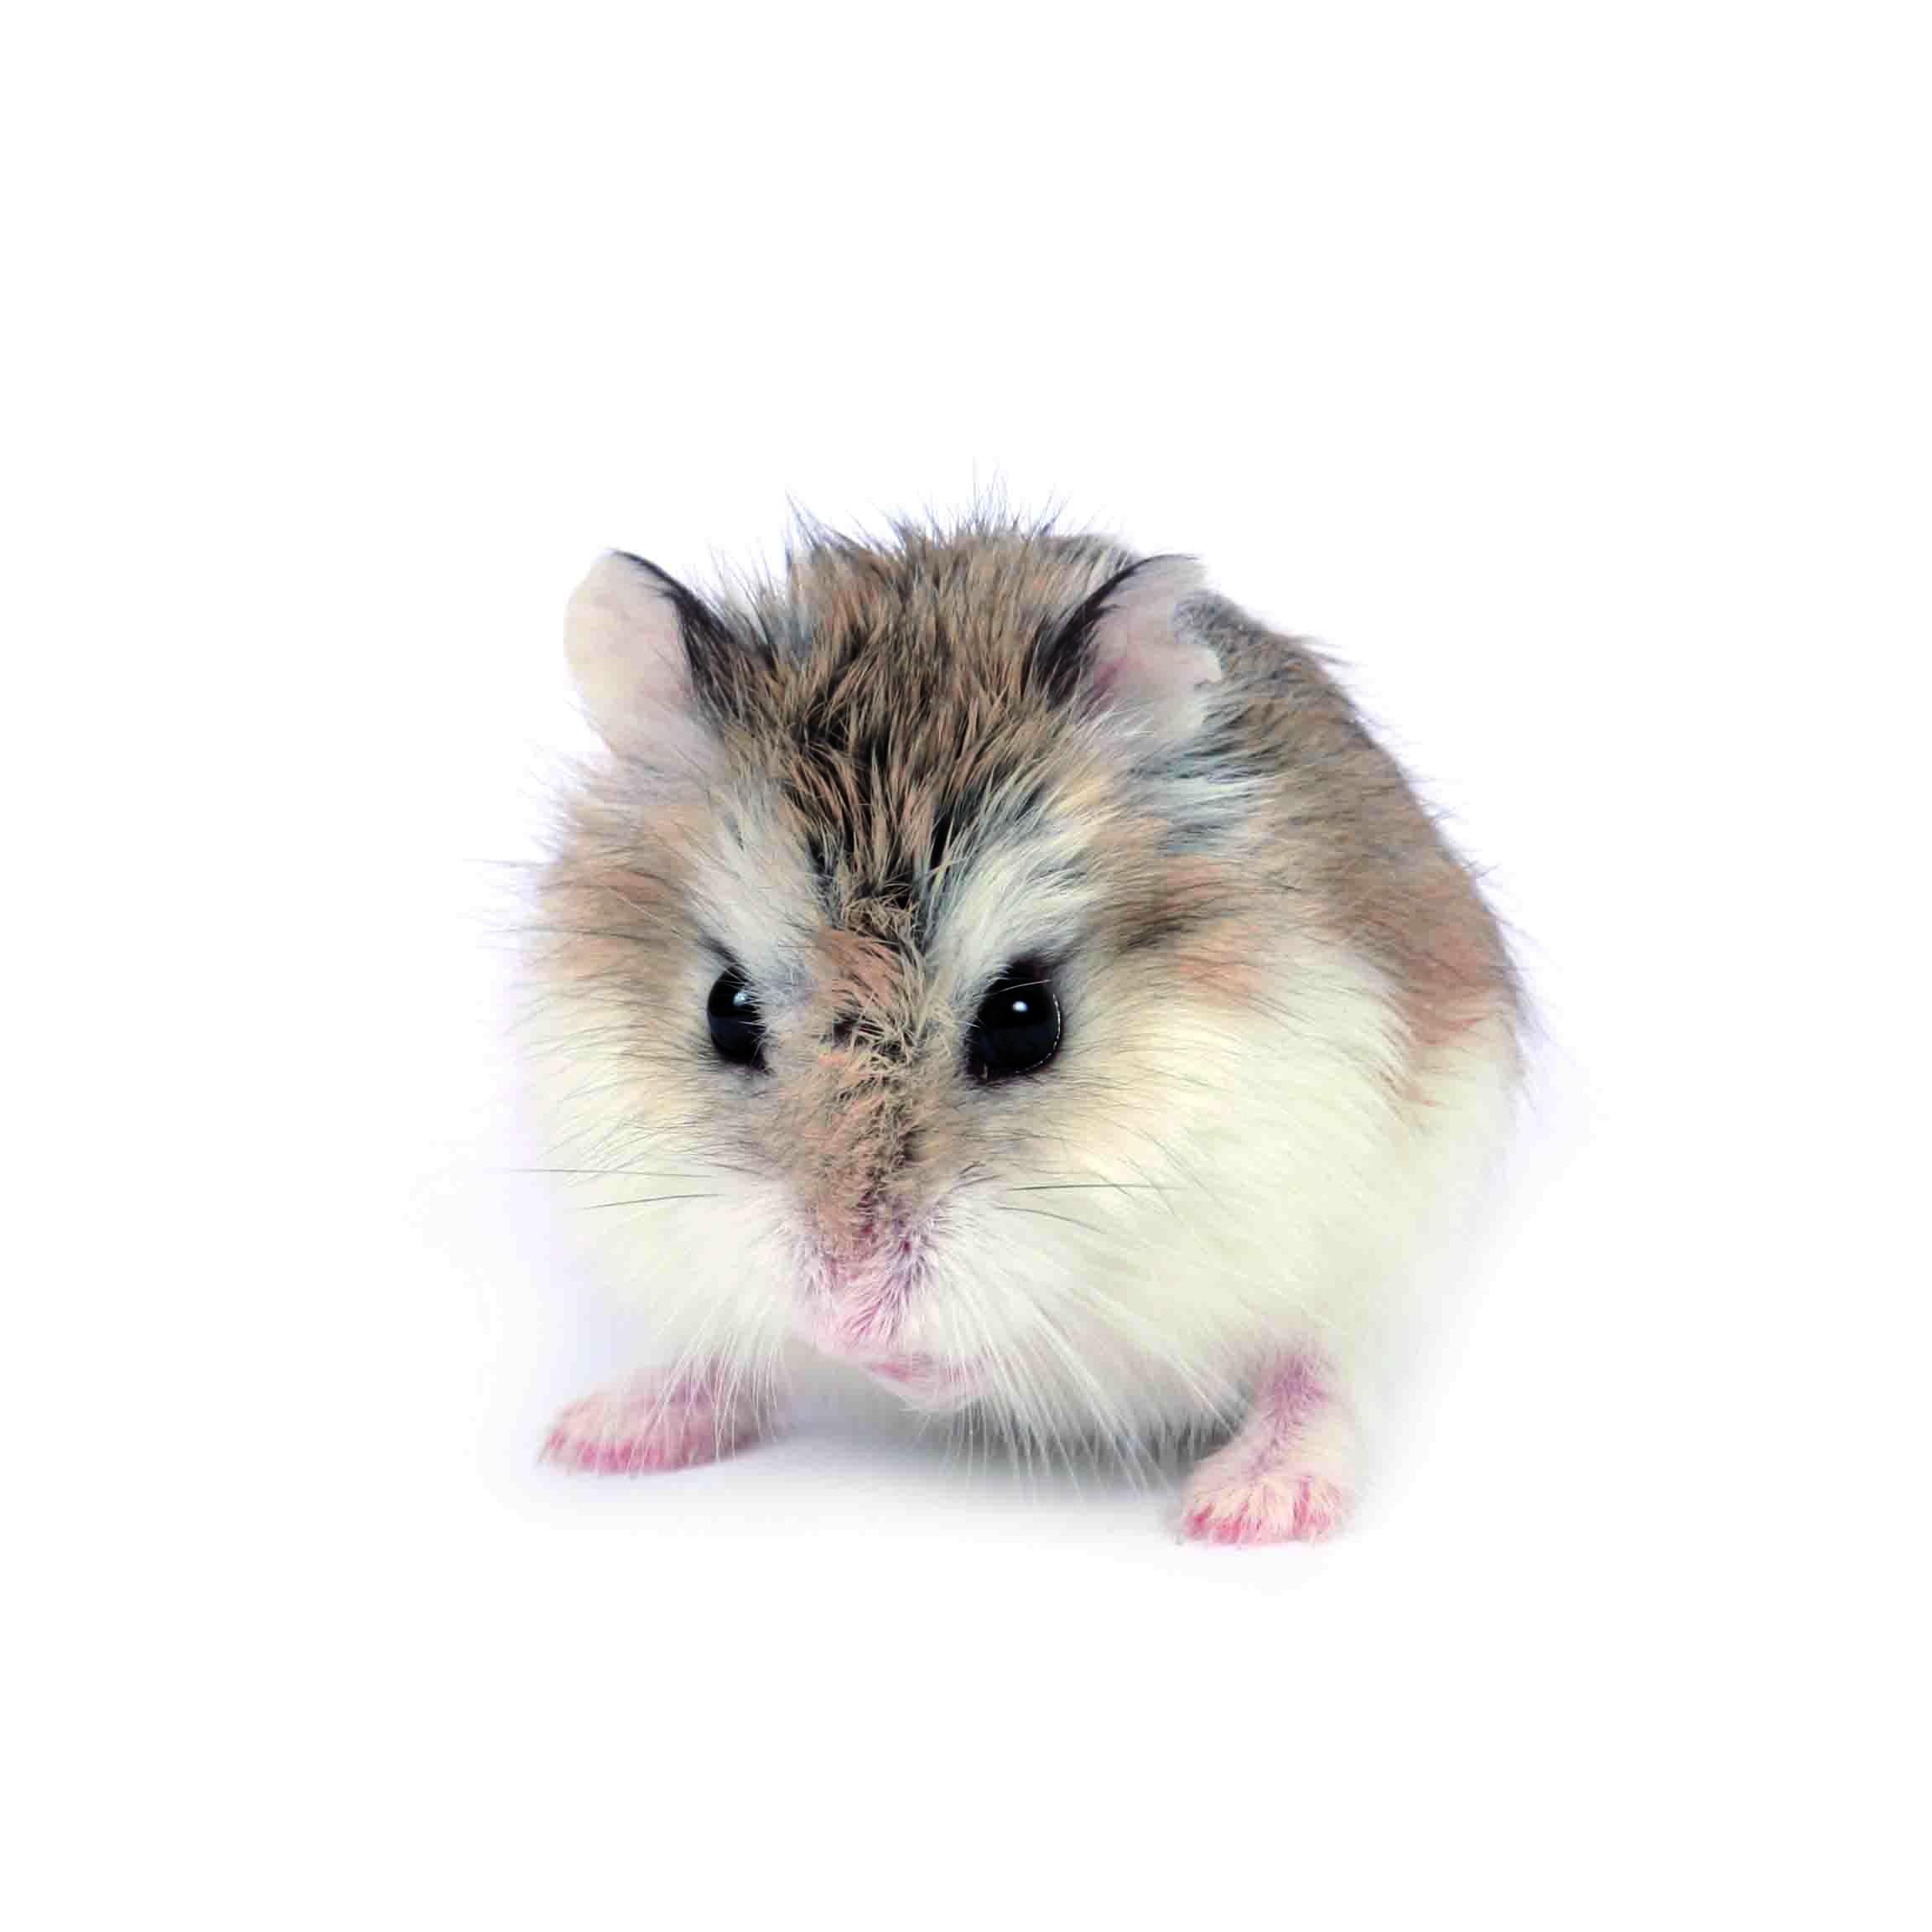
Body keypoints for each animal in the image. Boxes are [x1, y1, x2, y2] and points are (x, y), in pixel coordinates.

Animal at [521, 515, 1519, 1543]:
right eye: (727, 1008)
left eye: (1024, 1021)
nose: (845, 1318)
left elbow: (1026, 1335)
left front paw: (905, 1366)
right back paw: (598, 1434)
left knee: (1319, 1370)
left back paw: (1255, 1505)